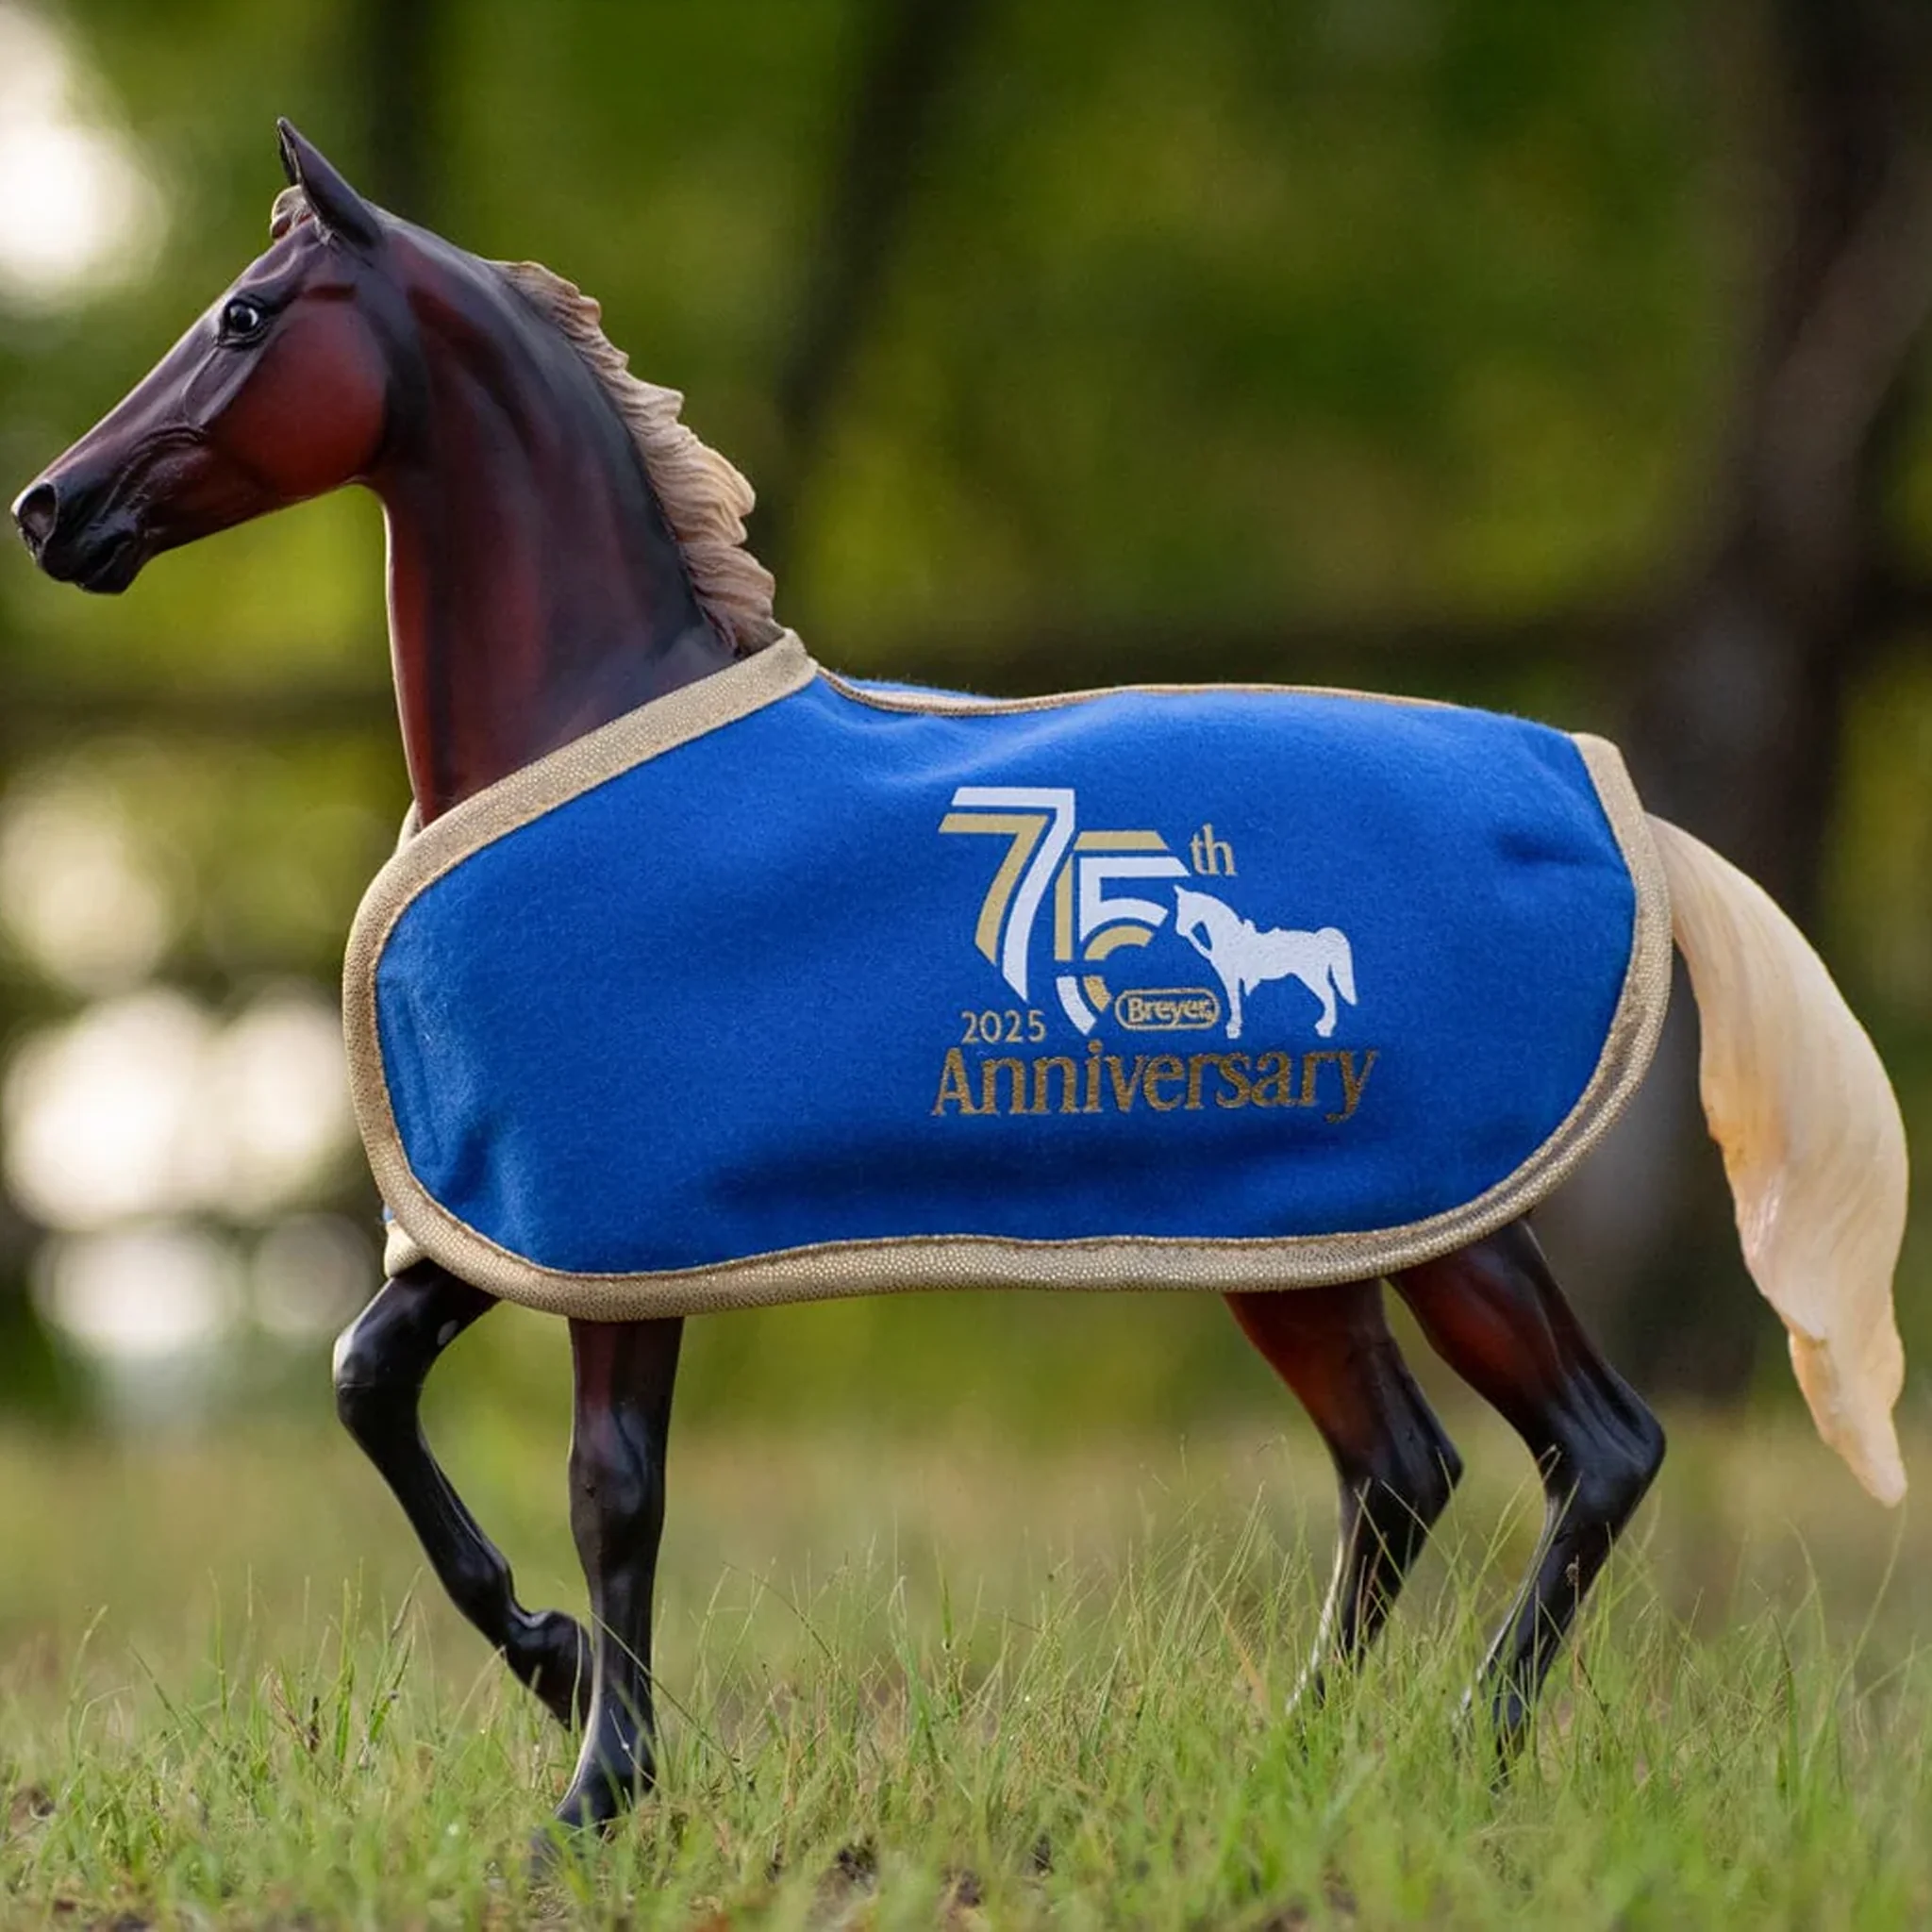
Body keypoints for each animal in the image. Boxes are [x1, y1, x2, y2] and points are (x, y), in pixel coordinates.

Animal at [1173, 884, 1356, 1040]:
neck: (1230, 938)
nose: (1180, 930)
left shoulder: (1230, 975)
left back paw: (1326, 1027)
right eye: (1179, 908)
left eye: (1187, 908)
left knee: (1329, 994)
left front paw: (1233, 1027)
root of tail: (1320, 939)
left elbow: (1233, 998)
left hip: (1312, 975)